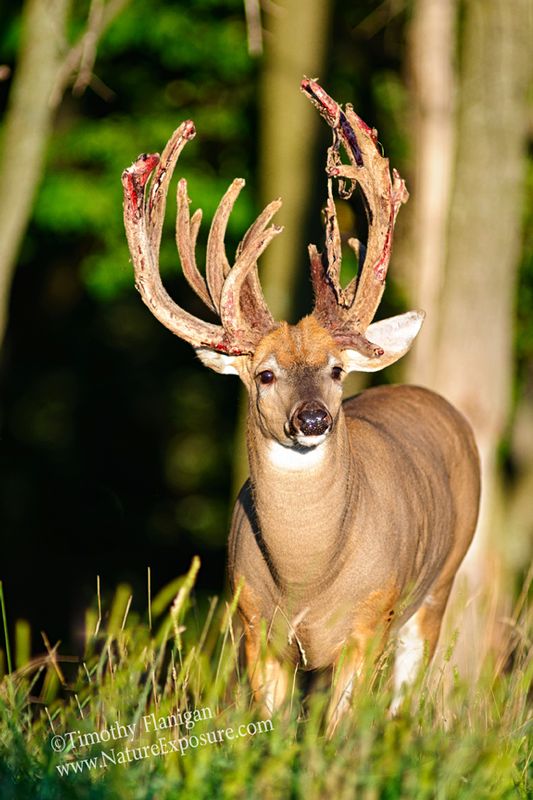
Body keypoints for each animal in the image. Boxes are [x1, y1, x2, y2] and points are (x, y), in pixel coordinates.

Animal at [122, 79, 480, 734]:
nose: (312, 419)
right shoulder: (254, 627)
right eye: (265, 375)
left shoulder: (369, 620)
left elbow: (339, 733)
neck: (307, 580)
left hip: (439, 583)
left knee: (404, 696)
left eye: (337, 370)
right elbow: (276, 733)